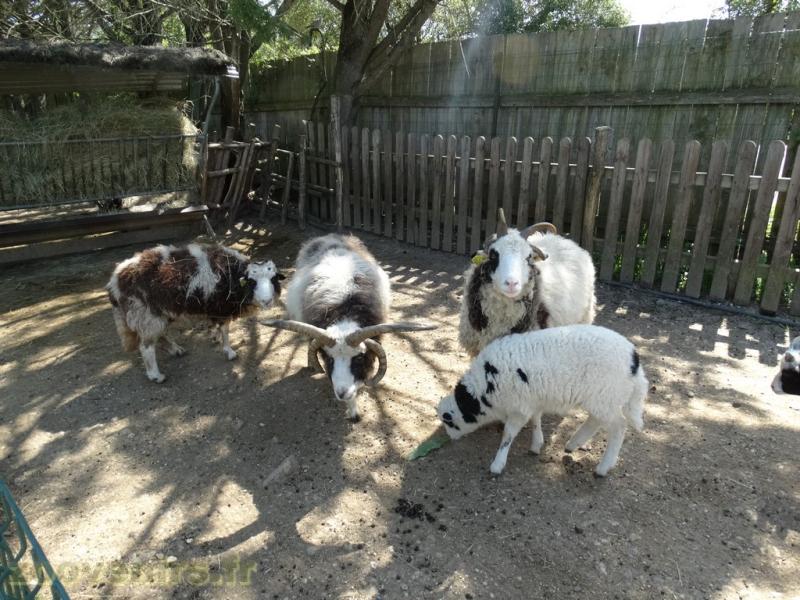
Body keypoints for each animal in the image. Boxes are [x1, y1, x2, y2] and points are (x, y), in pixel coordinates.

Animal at [107, 242, 284, 383]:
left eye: (273, 278)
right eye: (252, 282)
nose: (267, 301)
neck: (231, 275)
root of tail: (115, 280)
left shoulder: (215, 310)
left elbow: (218, 328)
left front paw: (215, 337)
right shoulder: (221, 308)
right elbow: (225, 331)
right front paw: (229, 351)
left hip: (157, 314)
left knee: (160, 335)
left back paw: (176, 350)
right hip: (145, 314)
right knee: (146, 347)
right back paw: (156, 375)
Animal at [261, 234, 435, 422]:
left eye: (358, 358)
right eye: (329, 359)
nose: (341, 393)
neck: (345, 310)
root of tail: (330, 236)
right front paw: (352, 411)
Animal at [437, 324, 648, 476]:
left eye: (450, 422)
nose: (451, 438)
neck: (483, 388)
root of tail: (634, 360)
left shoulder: (519, 407)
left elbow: (508, 435)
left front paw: (497, 464)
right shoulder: (531, 400)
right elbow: (536, 419)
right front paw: (536, 444)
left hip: (605, 397)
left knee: (619, 426)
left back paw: (603, 467)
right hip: (602, 399)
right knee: (596, 421)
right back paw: (573, 444)